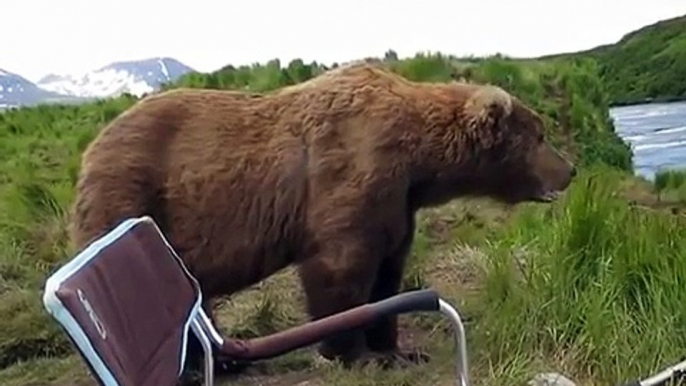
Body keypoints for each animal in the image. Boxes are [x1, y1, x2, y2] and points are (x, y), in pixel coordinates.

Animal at [68, 61, 576, 372]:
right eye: (539, 135)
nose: (570, 169)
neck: (418, 162)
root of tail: (91, 148)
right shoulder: (350, 174)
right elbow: (341, 268)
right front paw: (352, 352)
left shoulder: (397, 204)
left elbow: (388, 272)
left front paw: (394, 348)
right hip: (132, 195)